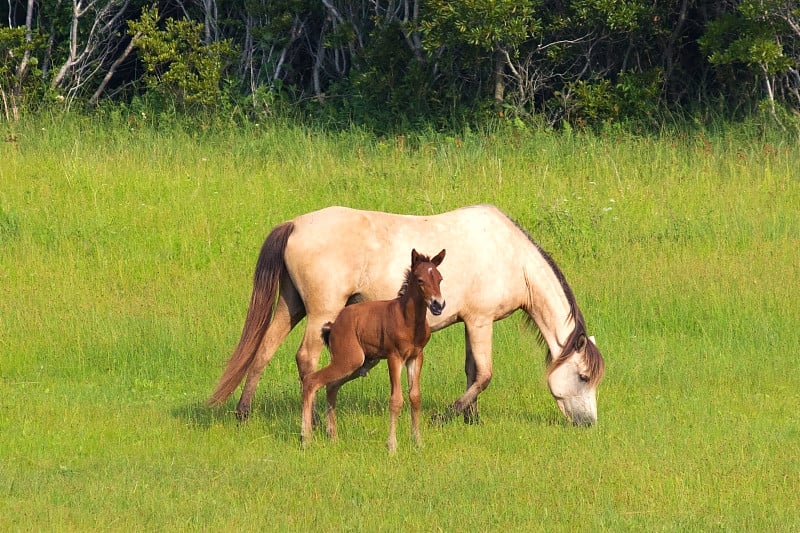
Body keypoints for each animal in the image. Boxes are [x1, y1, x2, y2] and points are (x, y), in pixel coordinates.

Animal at [209, 206, 604, 426]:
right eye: (583, 377)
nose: (588, 423)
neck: (508, 255)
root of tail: (294, 224)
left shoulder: (468, 322)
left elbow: (472, 370)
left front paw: (471, 418)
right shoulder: (480, 321)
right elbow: (485, 374)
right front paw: (447, 415)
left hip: (291, 306)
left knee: (263, 351)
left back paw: (243, 413)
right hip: (322, 310)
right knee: (306, 359)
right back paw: (317, 419)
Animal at [302, 248, 446, 448]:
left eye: (440, 279)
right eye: (420, 280)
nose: (438, 305)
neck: (408, 320)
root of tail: (333, 325)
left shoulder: (416, 357)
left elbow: (415, 397)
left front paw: (418, 442)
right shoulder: (394, 356)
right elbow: (396, 400)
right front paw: (392, 445)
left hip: (361, 363)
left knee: (330, 386)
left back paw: (333, 436)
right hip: (348, 359)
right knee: (312, 381)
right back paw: (305, 439)